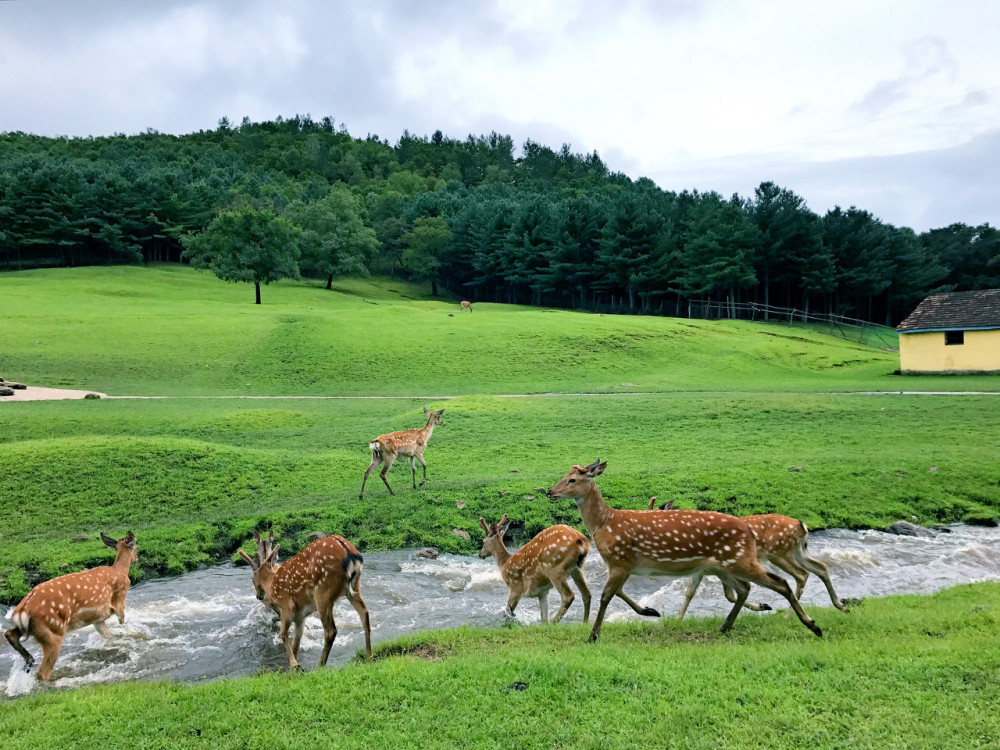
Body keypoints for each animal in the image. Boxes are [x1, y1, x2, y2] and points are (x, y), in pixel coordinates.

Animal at [4, 531, 137, 682]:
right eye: (136, 547)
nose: (137, 558)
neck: (121, 571)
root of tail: (21, 611)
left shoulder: (97, 619)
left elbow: (109, 635)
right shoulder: (119, 599)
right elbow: (121, 617)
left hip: (29, 628)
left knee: (9, 634)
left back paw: (29, 660)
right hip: (52, 630)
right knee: (42, 672)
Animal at [239, 530, 372, 669]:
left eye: (251, 578)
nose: (259, 596)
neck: (271, 585)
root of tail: (350, 553)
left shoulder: (286, 605)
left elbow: (283, 635)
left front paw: (294, 665)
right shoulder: (300, 616)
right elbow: (296, 643)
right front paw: (294, 667)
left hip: (323, 590)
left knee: (331, 630)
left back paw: (320, 665)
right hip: (353, 588)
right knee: (364, 613)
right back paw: (369, 656)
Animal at [547, 460, 822, 642]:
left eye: (572, 480)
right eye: (564, 476)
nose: (550, 491)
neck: (604, 524)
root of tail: (748, 531)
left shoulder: (620, 559)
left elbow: (606, 596)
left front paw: (593, 635)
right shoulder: (624, 565)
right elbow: (618, 593)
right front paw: (649, 611)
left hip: (740, 559)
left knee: (780, 582)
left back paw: (813, 626)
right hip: (725, 564)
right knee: (746, 589)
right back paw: (726, 626)